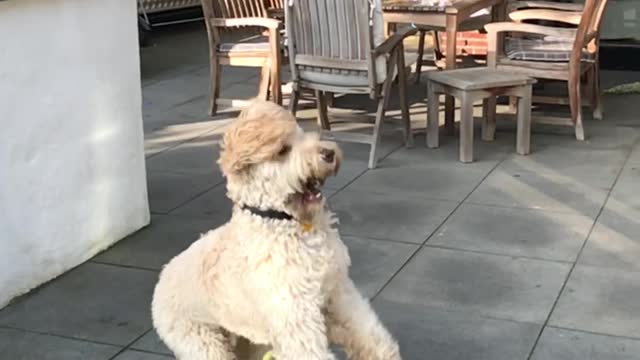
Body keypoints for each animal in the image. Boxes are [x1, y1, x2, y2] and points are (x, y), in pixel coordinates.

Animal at [151, 100, 400, 358]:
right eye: (282, 150)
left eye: (301, 134)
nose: (329, 153)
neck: (284, 221)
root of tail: (161, 280)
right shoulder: (295, 315)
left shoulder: (338, 291)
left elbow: (368, 334)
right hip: (202, 341)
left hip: (249, 342)